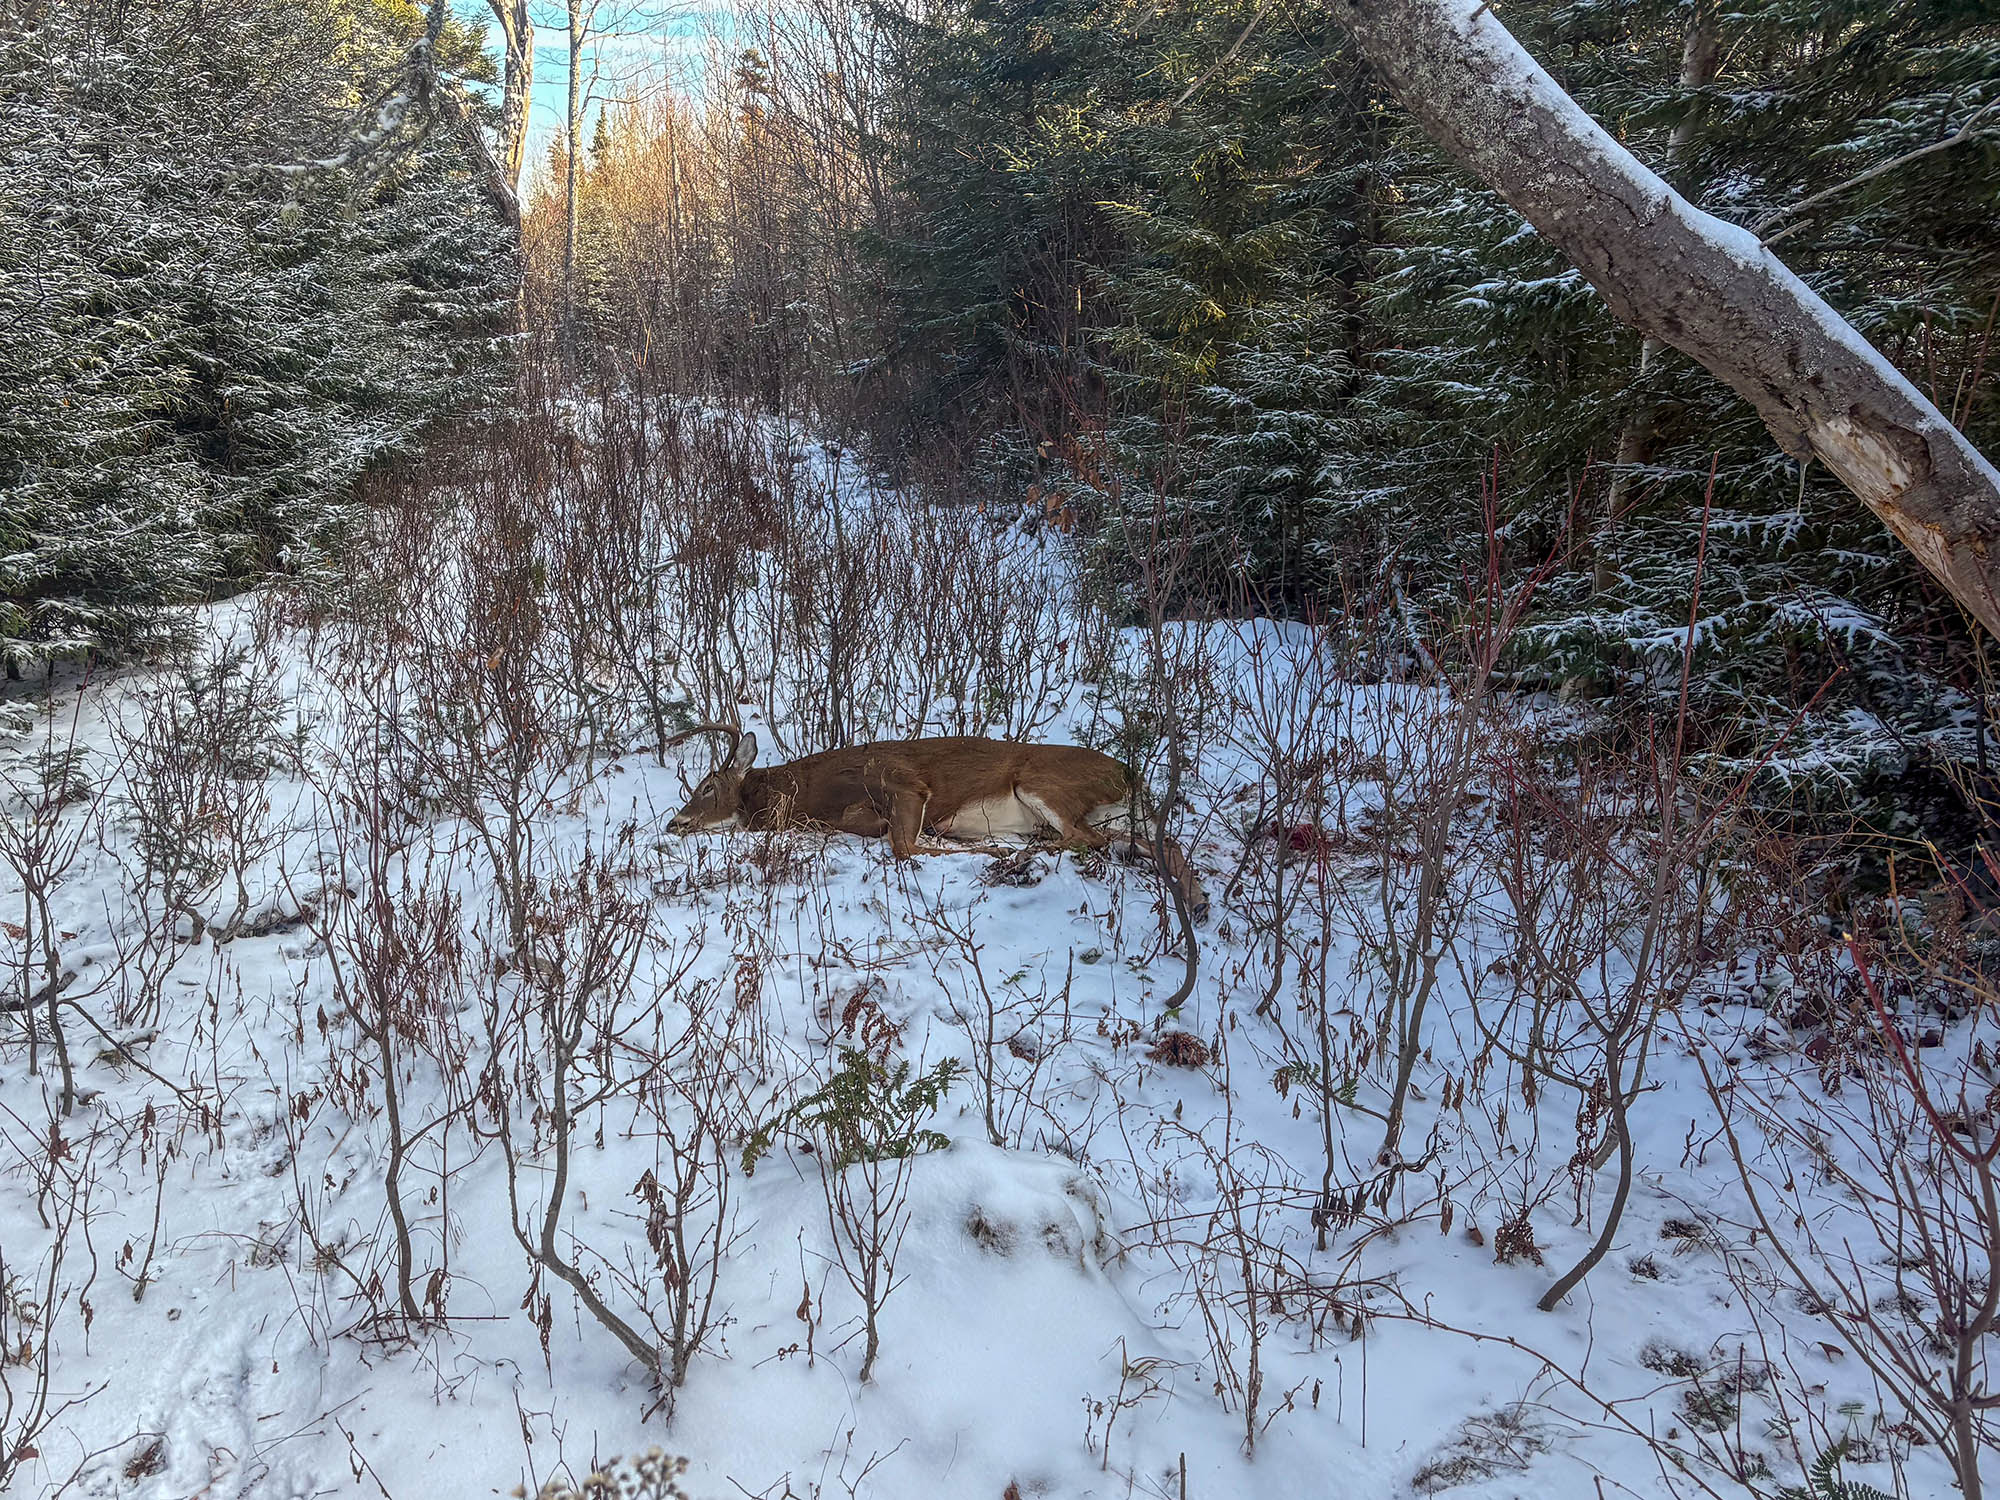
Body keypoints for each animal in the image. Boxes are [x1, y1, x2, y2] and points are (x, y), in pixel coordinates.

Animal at [664, 726, 1207, 922]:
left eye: (707, 786)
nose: (674, 822)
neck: (803, 792)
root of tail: (1131, 774)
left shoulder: (903, 783)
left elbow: (904, 845)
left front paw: (989, 852)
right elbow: (904, 840)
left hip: (1044, 783)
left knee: (1082, 839)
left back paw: (1017, 855)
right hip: (1108, 811)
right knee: (1154, 841)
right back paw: (1198, 902)